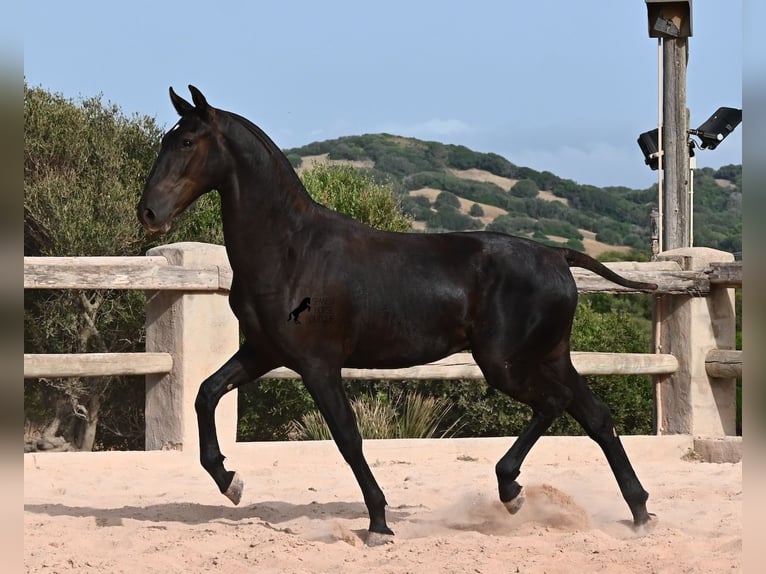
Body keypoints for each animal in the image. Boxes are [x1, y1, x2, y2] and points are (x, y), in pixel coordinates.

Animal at [138, 85, 657, 543]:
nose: (149, 213)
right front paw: (230, 482)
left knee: (554, 404)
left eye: (186, 142)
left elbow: (348, 437)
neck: (291, 252)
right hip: (548, 356)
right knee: (595, 416)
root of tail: (557, 255)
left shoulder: (317, 365)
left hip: (505, 363)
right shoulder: (264, 352)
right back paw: (639, 513)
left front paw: (379, 524)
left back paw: (511, 489)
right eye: (165, 139)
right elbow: (205, 394)